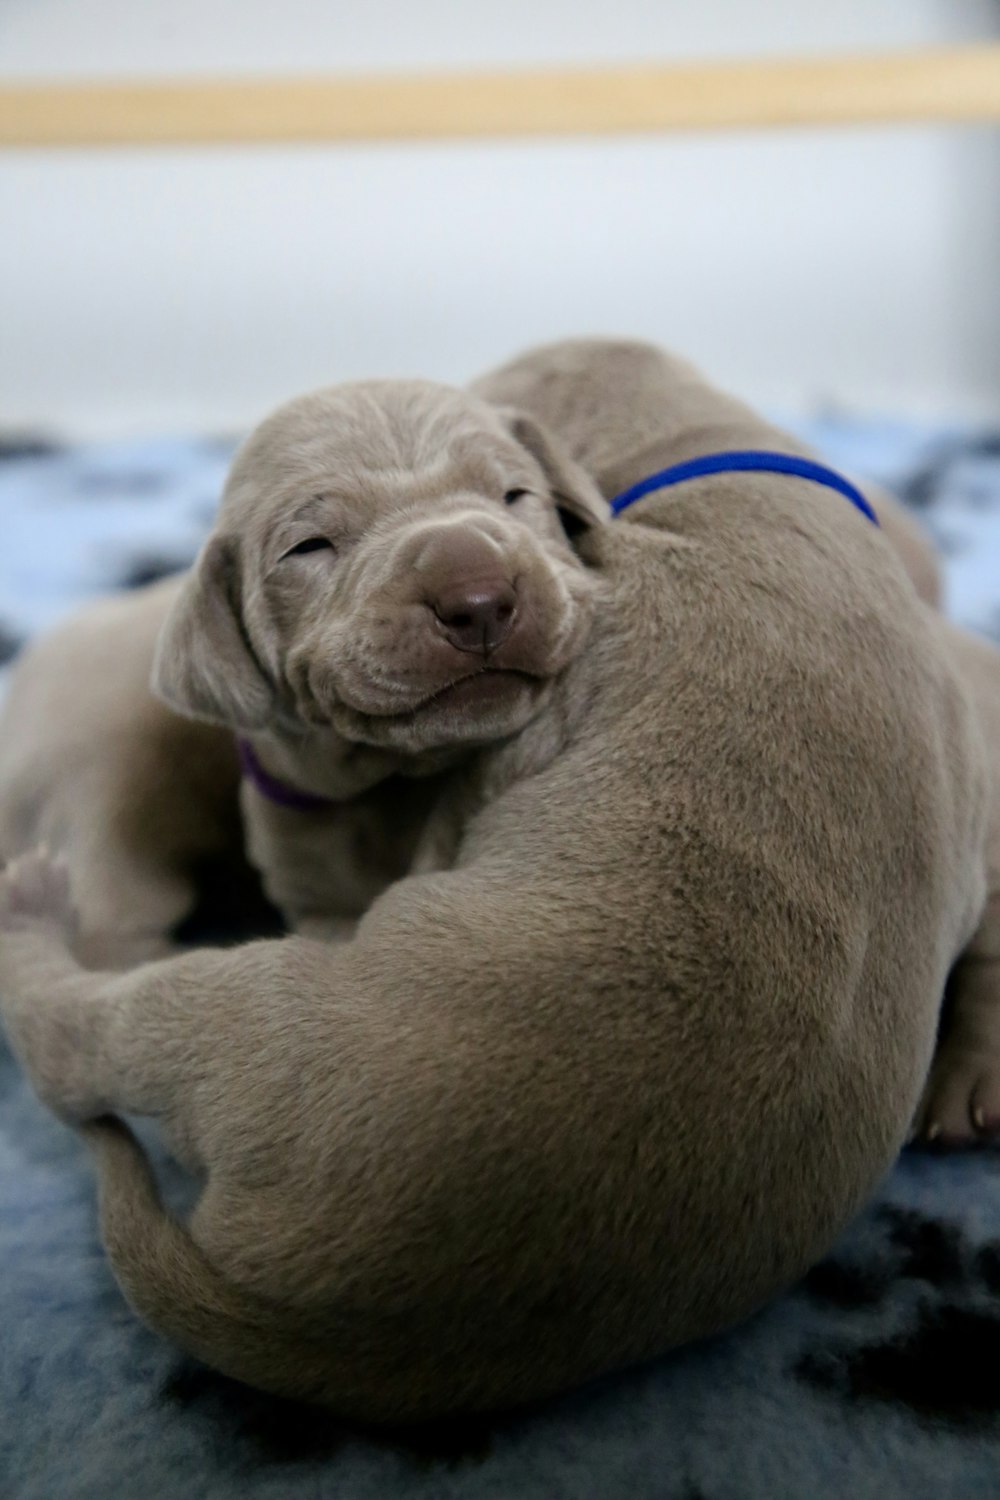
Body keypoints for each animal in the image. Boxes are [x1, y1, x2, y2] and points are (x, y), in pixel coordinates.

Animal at [1, 334, 995, 1422]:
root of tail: (321, 1327)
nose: (475, 595)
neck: (714, 452)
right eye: (309, 547)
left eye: (514, 493)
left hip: (243, 1010)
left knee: (76, 1034)